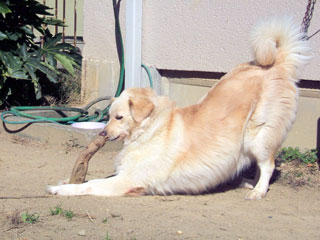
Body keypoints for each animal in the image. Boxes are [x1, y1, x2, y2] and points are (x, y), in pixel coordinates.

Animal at [47, 17, 310, 199]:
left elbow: (91, 185)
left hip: (258, 135)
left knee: (268, 165)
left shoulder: (128, 179)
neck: (151, 129)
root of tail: (278, 64)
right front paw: (66, 182)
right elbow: (90, 181)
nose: (102, 133)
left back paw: (258, 191)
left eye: (119, 117)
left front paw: (61, 189)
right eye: (109, 116)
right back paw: (249, 183)